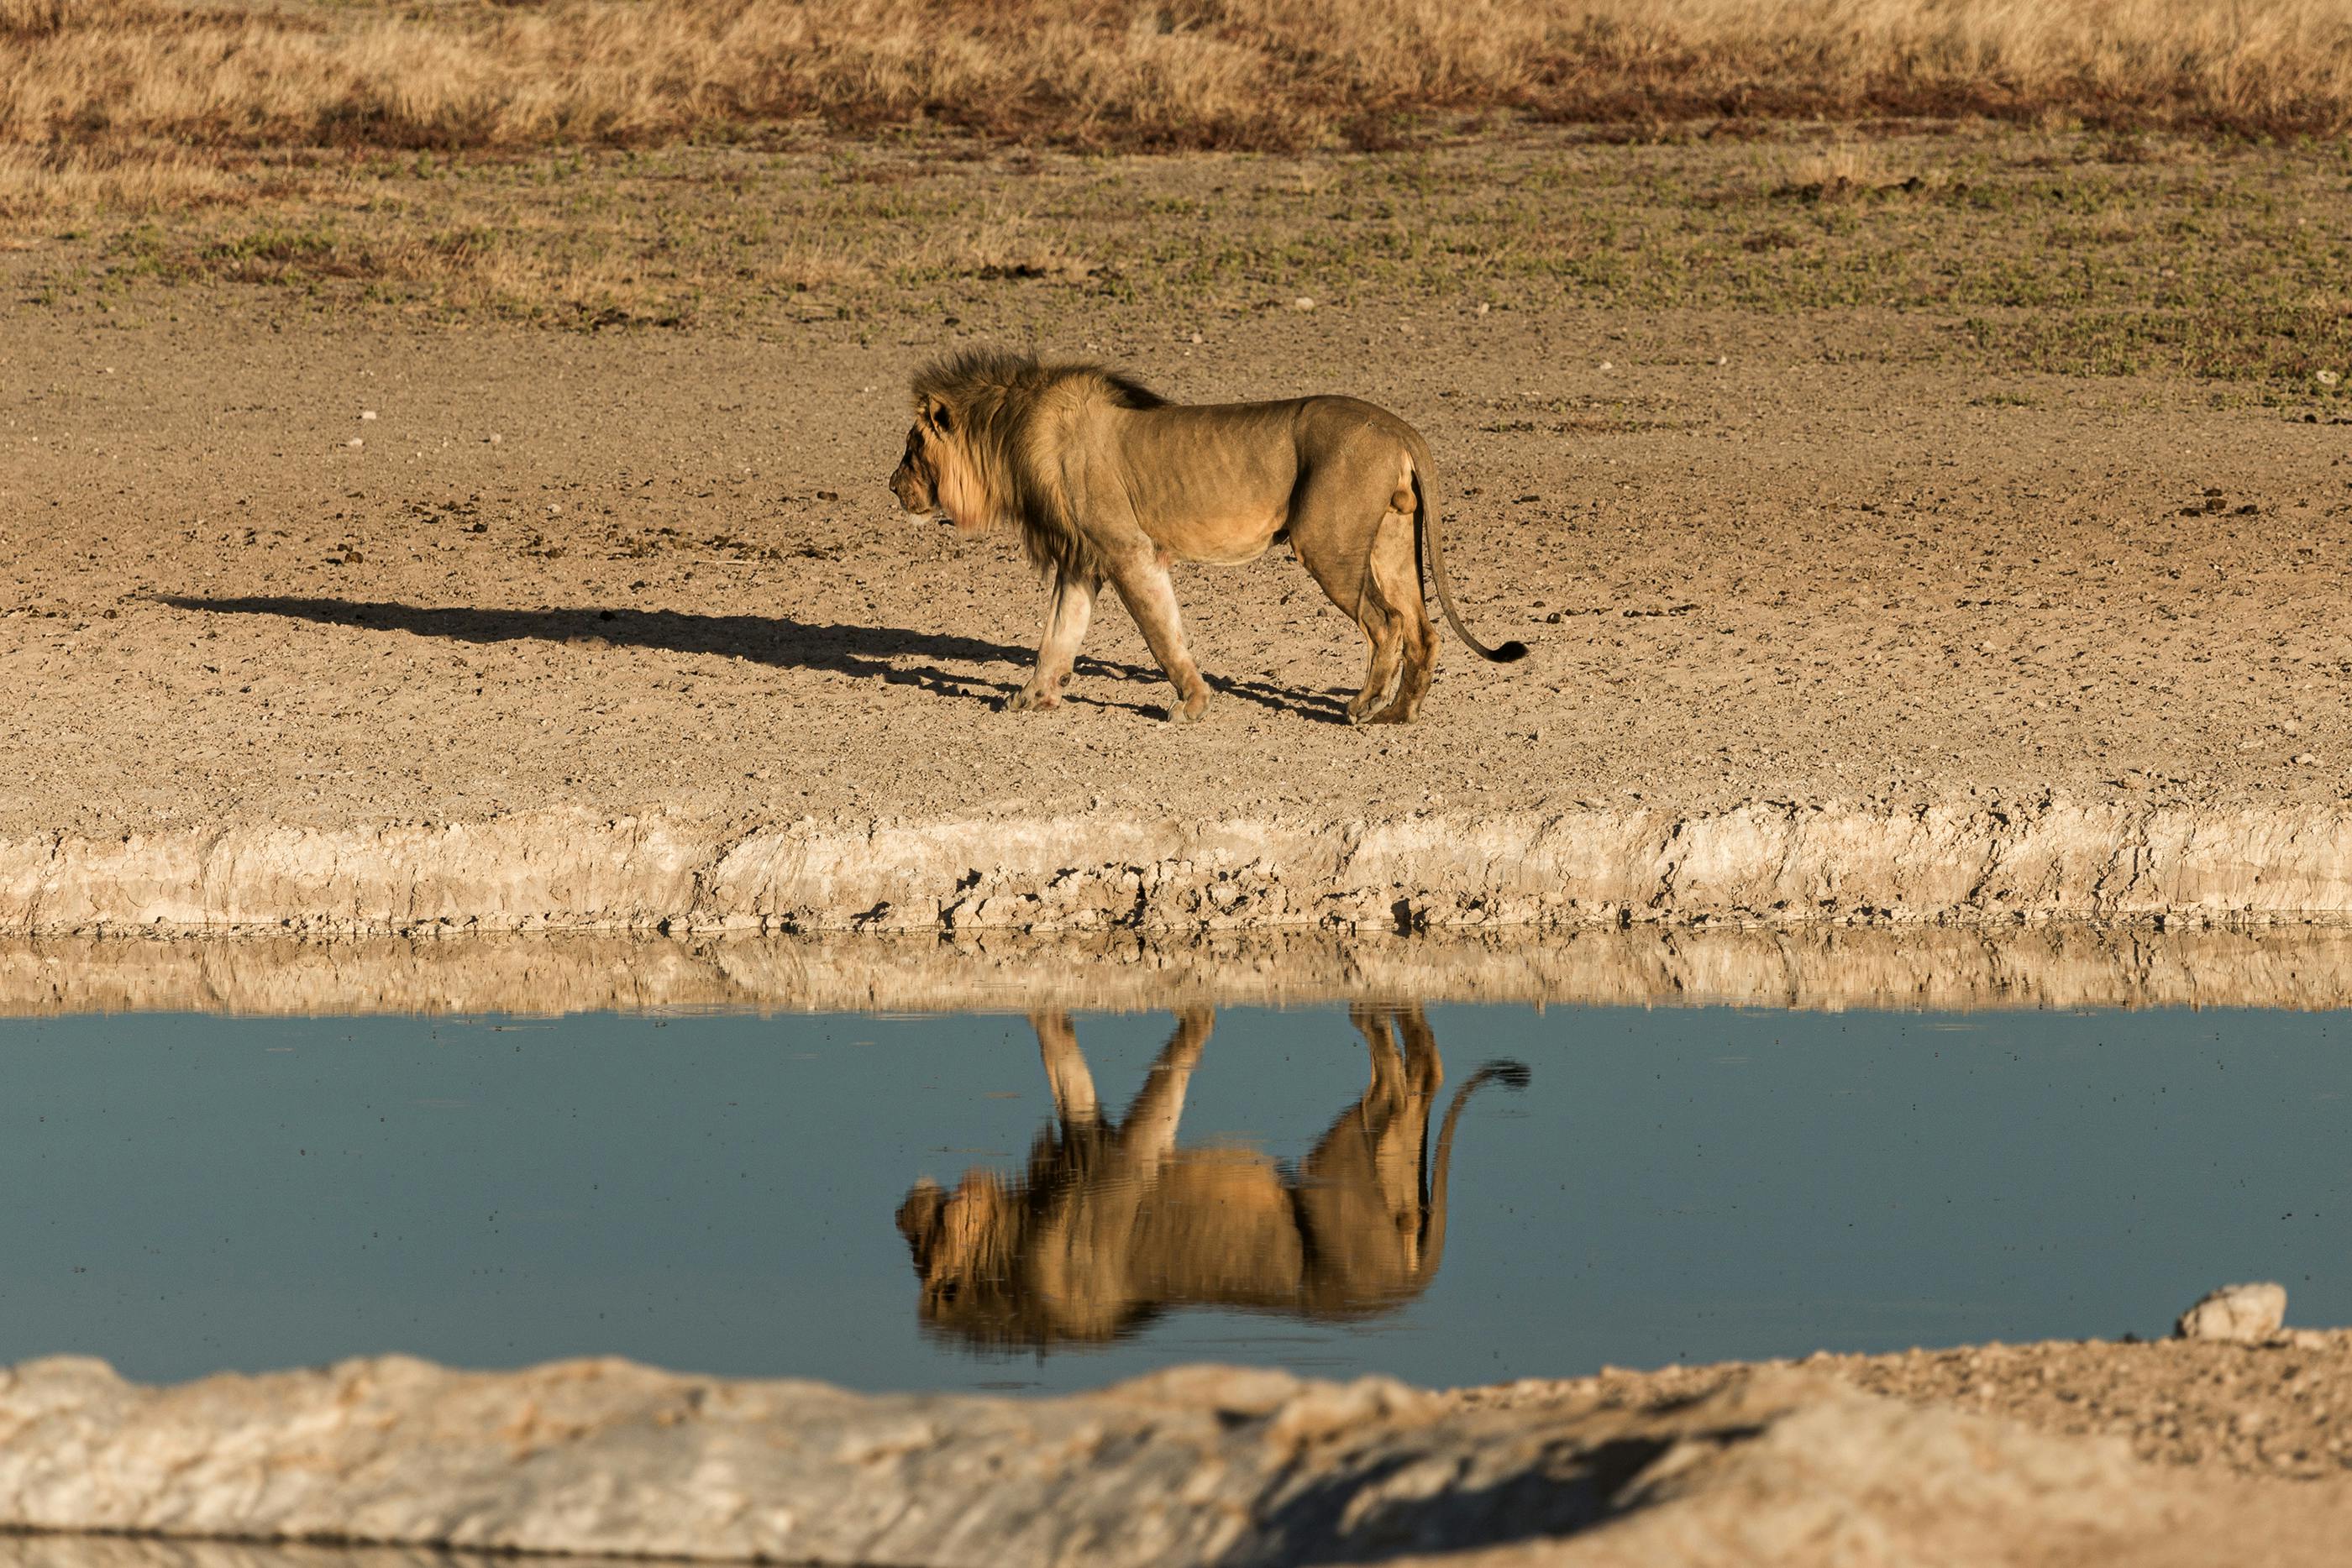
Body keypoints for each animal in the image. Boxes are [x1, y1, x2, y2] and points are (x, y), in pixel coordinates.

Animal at [884, 350, 1524, 724]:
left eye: (912, 448)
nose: (892, 486)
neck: (1011, 435)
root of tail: (1399, 426)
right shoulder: (1083, 561)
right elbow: (1057, 638)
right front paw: (1029, 698)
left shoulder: (1128, 550)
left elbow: (1162, 634)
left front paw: (1191, 703)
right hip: (1390, 541)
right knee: (1424, 629)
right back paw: (1401, 714)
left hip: (1328, 544)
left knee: (1387, 623)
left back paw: (1364, 707)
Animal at [889, 1006, 1533, 1354]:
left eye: (922, 1239)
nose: (905, 1206)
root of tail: (1408, 1286)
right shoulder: (1104, 1150)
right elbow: (1068, 1062)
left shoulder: (1120, 1165)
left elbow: (1155, 1066)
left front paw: (1194, 1008)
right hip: (1380, 1170)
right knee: (1421, 1076)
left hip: (1335, 1171)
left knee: (1398, 1082)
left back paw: (1368, 1008)